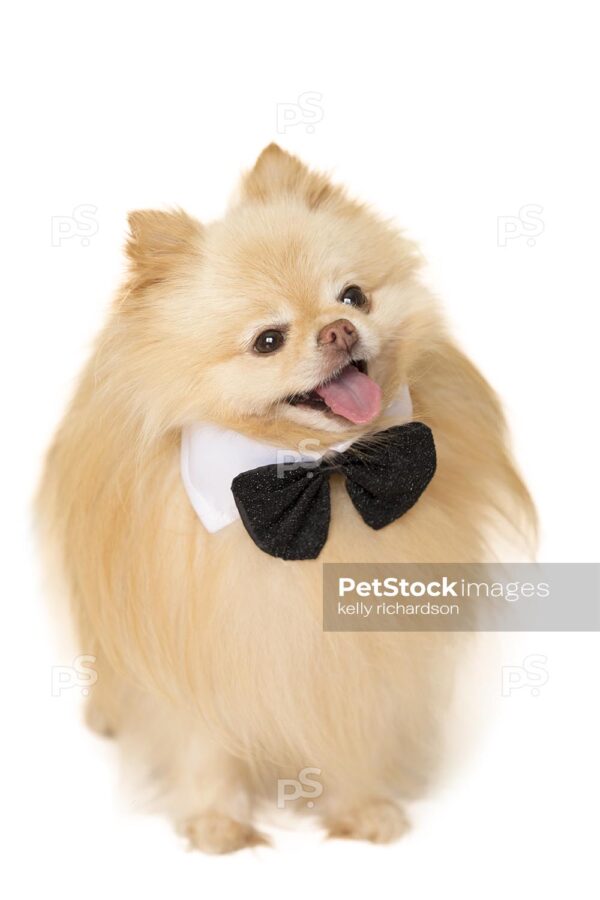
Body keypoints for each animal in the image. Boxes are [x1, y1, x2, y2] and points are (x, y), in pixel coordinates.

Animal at [37, 146, 536, 852]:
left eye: (353, 296)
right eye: (267, 340)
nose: (339, 330)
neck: (322, 473)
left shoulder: (364, 654)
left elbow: (354, 729)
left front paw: (364, 810)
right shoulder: (188, 642)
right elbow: (201, 742)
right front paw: (217, 823)